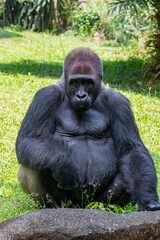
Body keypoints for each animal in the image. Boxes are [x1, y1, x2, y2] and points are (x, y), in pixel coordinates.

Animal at [16, 47, 160, 211]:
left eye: (87, 82)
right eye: (75, 82)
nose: (81, 95)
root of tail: (82, 206)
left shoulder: (119, 102)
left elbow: (130, 149)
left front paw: (147, 198)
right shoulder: (45, 96)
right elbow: (29, 140)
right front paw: (64, 164)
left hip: (96, 202)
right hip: (67, 203)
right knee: (37, 163)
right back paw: (50, 206)